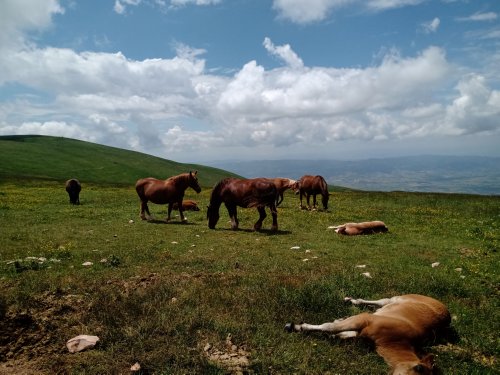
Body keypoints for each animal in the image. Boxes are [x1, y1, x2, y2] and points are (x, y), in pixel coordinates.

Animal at [284, 296, 452, 374]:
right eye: (419, 369)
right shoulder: (365, 318)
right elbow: (330, 327)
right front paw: (296, 326)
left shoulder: (361, 330)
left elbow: (343, 332)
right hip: (397, 298)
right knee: (383, 301)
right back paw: (350, 300)